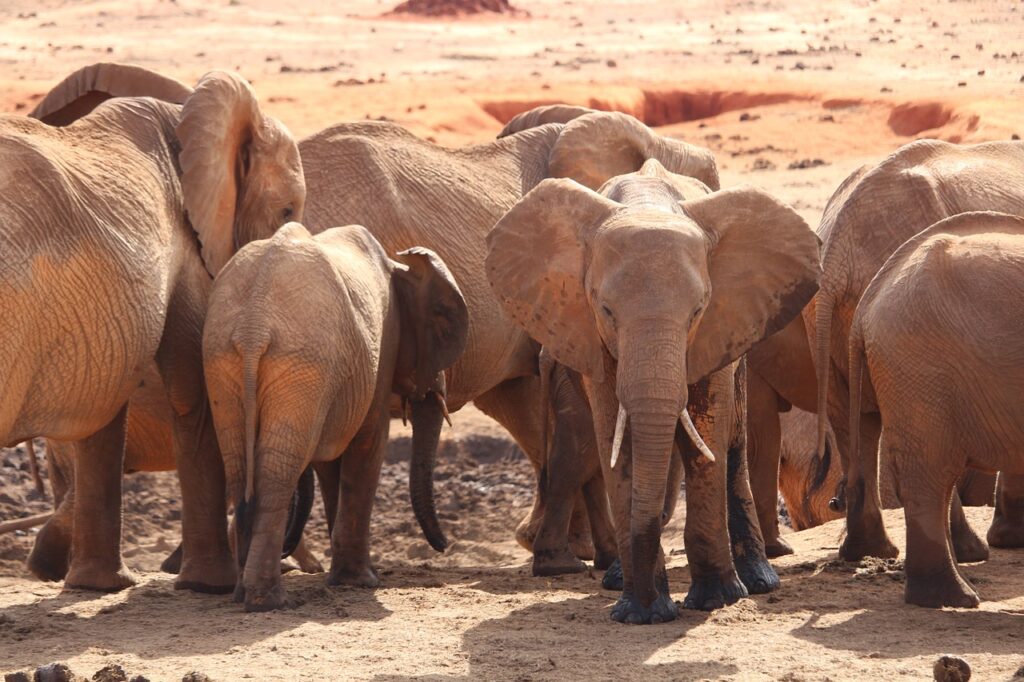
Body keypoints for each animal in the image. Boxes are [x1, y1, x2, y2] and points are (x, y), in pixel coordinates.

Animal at [4, 63, 307, 589]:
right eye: (287, 211)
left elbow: (104, 403)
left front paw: (98, 586)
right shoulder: (187, 248)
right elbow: (192, 390)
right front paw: (209, 586)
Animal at [203, 223, 468, 610]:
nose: (445, 546)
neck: (398, 266)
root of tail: (253, 326)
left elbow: (329, 465)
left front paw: (343, 578)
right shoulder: (381, 345)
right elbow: (368, 444)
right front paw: (362, 582)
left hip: (223, 359)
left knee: (239, 467)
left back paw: (242, 595)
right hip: (301, 362)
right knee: (277, 472)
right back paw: (269, 601)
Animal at [483, 159, 819, 622]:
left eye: (698, 310)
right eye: (606, 309)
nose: (645, 605)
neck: (648, 202)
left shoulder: (723, 320)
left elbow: (707, 431)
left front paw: (716, 600)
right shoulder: (588, 332)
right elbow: (614, 432)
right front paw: (640, 612)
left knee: (734, 443)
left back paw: (757, 582)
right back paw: (617, 580)